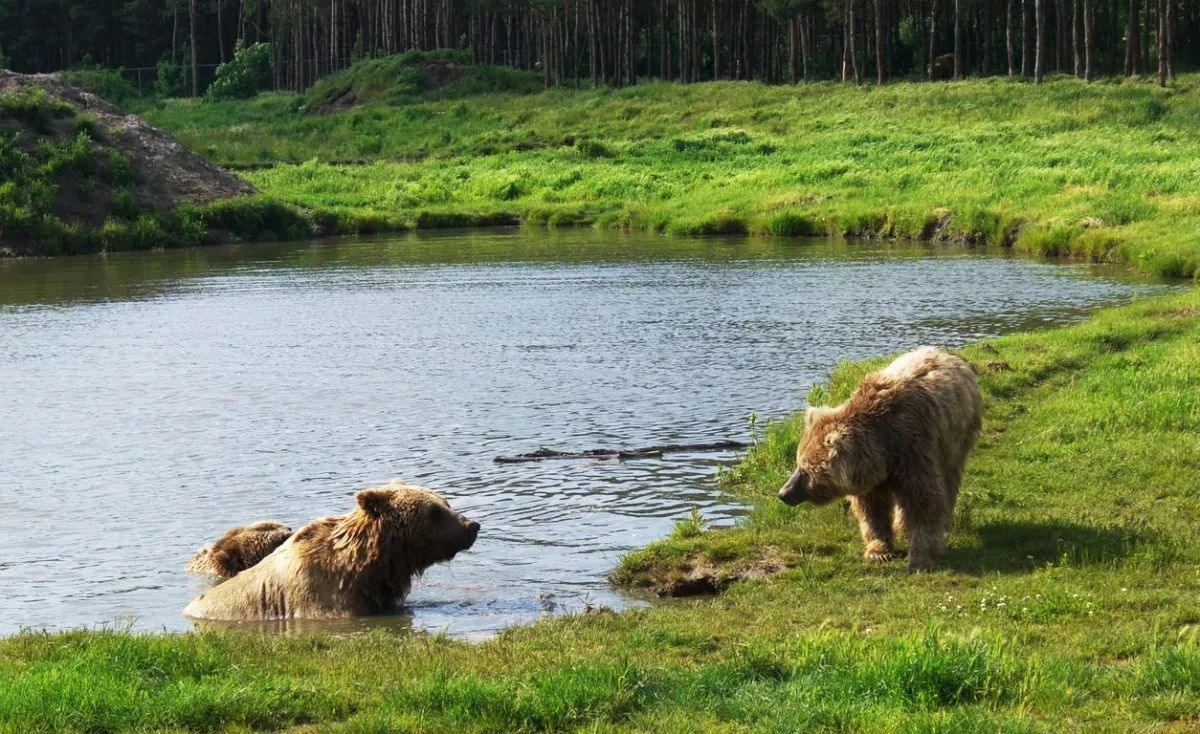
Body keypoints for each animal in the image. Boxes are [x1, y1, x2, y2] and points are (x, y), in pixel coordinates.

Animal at [777, 347, 984, 570]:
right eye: (798, 463)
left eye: (806, 470)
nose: (783, 493)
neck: (883, 448)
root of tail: (946, 353)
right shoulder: (871, 476)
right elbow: (872, 509)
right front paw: (878, 550)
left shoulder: (914, 450)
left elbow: (923, 500)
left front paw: (920, 557)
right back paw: (902, 524)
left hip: (955, 440)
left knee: (949, 479)